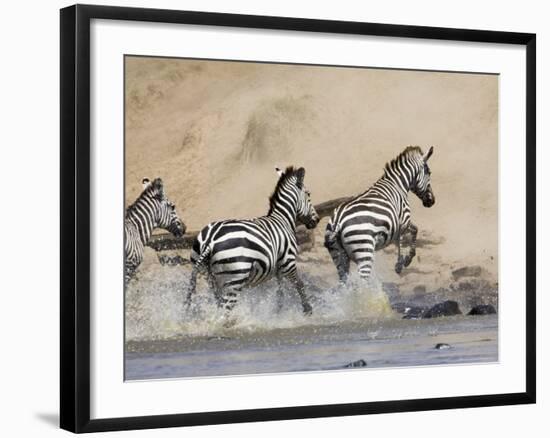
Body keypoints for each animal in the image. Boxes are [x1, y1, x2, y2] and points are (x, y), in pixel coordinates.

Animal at [188, 167, 322, 314]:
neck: (283, 219)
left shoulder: (278, 267)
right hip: (235, 278)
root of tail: (210, 240)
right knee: (224, 311)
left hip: (211, 277)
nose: (316, 220)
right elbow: (299, 284)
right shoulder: (288, 261)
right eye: (308, 194)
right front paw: (308, 310)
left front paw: (278, 310)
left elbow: (280, 290)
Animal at [326, 145, 438, 286]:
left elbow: (406, 237)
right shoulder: (403, 221)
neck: (398, 184)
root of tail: (338, 221)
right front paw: (405, 262)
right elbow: (411, 234)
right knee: (363, 281)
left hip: (338, 256)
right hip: (364, 250)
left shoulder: (397, 227)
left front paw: (401, 263)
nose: (431, 201)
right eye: (429, 173)